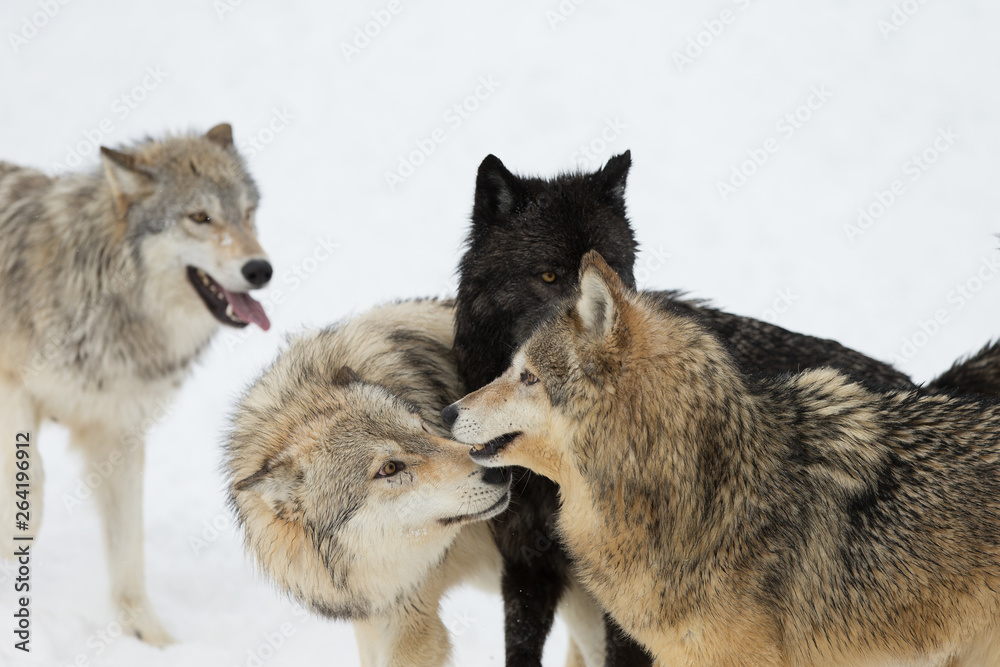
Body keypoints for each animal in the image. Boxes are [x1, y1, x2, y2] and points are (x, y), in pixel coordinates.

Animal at [0, 122, 272, 644]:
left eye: (248, 215)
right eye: (200, 217)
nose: (260, 269)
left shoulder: (119, 434)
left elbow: (128, 549)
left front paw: (152, 639)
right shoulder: (13, 387)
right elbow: (32, 476)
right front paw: (16, 538)